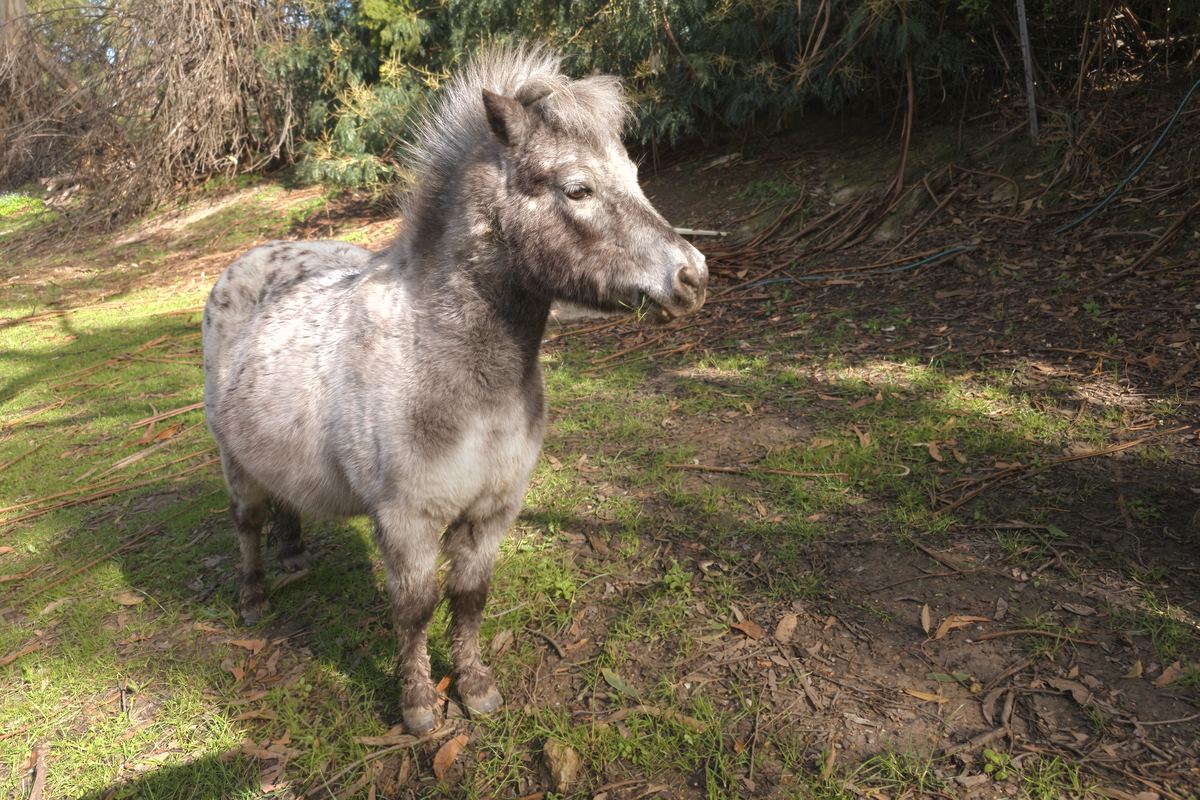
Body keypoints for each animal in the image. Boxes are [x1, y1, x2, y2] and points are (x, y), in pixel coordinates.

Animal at [202, 45, 708, 734]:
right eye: (577, 188)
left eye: (633, 175)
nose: (692, 276)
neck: (452, 370)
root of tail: (245, 263)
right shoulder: (407, 521)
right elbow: (414, 610)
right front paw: (418, 706)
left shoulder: (492, 511)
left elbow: (469, 599)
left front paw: (475, 687)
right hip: (234, 462)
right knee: (247, 521)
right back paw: (254, 595)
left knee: (285, 500)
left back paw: (295, 556)